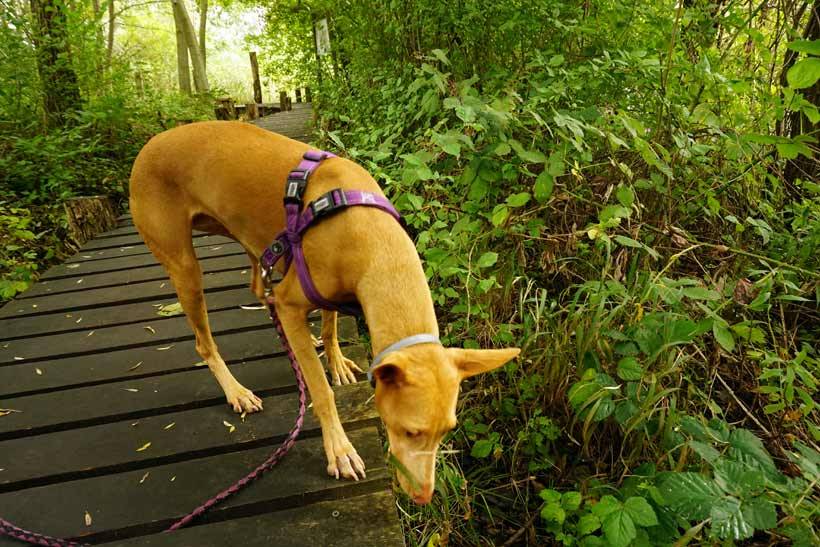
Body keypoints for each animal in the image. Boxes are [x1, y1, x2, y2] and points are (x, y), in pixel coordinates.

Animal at [128, 121, 520, 506]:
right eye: (409, 431)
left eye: (447, 431)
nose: (423, 498)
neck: (372, 238)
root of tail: (149, 144)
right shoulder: (291, 302)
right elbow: (320, 389)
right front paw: (339, 449)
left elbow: (330, 325)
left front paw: (335, 359)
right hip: (185, 268)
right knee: (204, 341)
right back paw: (236, 391)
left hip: (249, 237)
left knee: (258, 287)